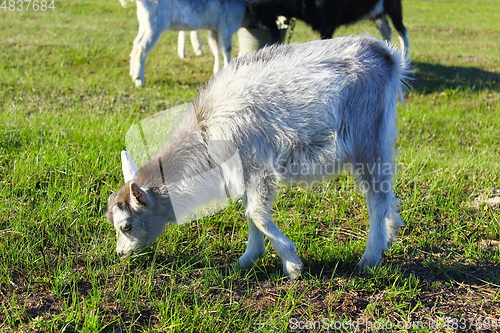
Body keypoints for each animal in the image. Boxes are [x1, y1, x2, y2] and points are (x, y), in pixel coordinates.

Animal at [106, 35, 410, 278]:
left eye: (127, 226)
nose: (120, 254)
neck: (206, 127)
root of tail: (385, 55)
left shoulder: (259, 165)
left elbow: (255, 211)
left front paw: (292, 265)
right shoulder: (244, 172)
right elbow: (249, 210)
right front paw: (249, 257)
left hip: (366, 136)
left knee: (376, 194)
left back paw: (370, 258)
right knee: (385, 189)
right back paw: (391, 230)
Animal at [119, 0, 248, 87]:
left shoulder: (215, 29)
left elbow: (216, 49)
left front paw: (218, 71)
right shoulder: (226, 25)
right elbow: (226, 49)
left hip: (143, 23)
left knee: (136, 44)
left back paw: (132, 73)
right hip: (155, 23)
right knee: (142, 47)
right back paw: (139, 79)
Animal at [248, 0, 408, 53]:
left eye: (258, 12)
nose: (284, 23)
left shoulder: (328, 24)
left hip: (393, 8)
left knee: (402, 32)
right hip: (377, 13)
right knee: (386, 31)